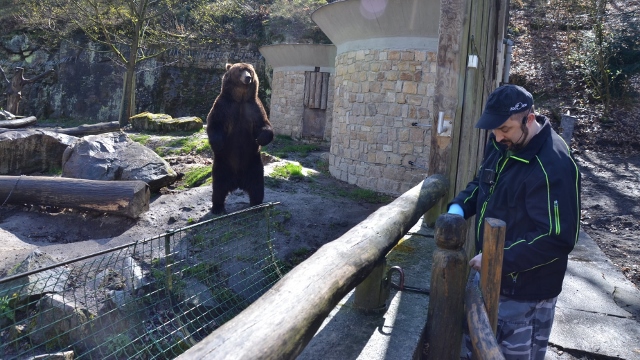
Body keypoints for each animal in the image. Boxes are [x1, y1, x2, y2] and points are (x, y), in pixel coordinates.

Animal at [206, 62, 274, 214]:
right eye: (240, 71)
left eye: (250, 71)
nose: (248, 78)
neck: (240, 99)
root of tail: (237, 181)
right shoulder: (224, 107)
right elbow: (214, 124)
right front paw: (218, 144)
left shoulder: (254, 108)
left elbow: (264, 125)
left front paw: (260, 139)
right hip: (222, 164)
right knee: (218, 186)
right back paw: (217, 207)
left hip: (254, 164)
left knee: (257, 185)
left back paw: (257, 204)